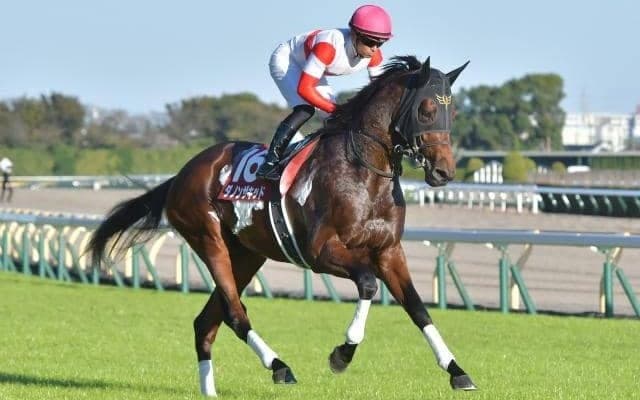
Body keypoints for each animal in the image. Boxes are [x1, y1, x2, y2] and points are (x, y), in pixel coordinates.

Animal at [88, 55, 475, 396]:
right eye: (427, 109)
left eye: (454, 112)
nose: (444, 172)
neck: (363, 172)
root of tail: (180, 175)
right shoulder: (321, 252)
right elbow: (367, 285)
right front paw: (342, 354)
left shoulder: (388, 251)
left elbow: (418, 308)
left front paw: (457, 371)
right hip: (209, 239)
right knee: (235, 314)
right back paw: (280, 366)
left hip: (246, 255)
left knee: (206, 322)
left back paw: (211, 390)